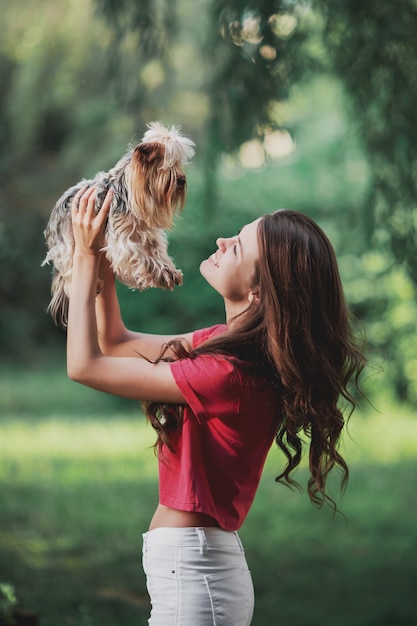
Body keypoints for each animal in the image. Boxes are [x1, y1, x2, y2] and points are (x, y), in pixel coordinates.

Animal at [41, 122, 194, 326]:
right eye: (168, 168)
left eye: (178, 165)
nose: (182, 180)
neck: (128, 192)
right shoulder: (123, 241)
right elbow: (143, 258)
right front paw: (160, 275)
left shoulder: (147, 234)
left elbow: (156, 253)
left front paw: (169, 271)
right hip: (67, 247)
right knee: (69, 278)